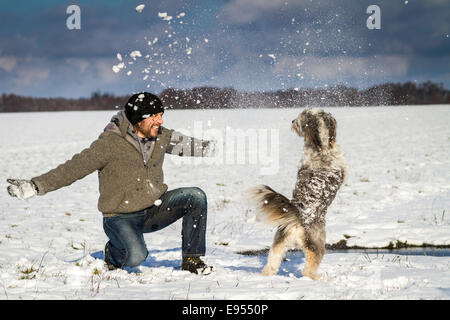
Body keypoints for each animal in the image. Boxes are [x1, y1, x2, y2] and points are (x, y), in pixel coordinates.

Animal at [250, 108, 348, 280]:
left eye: (300, 118)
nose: (292, 121)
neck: (321, 148)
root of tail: (297, 220)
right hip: (318, 247)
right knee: (308, 271)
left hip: (279, 245)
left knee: (271, 265)